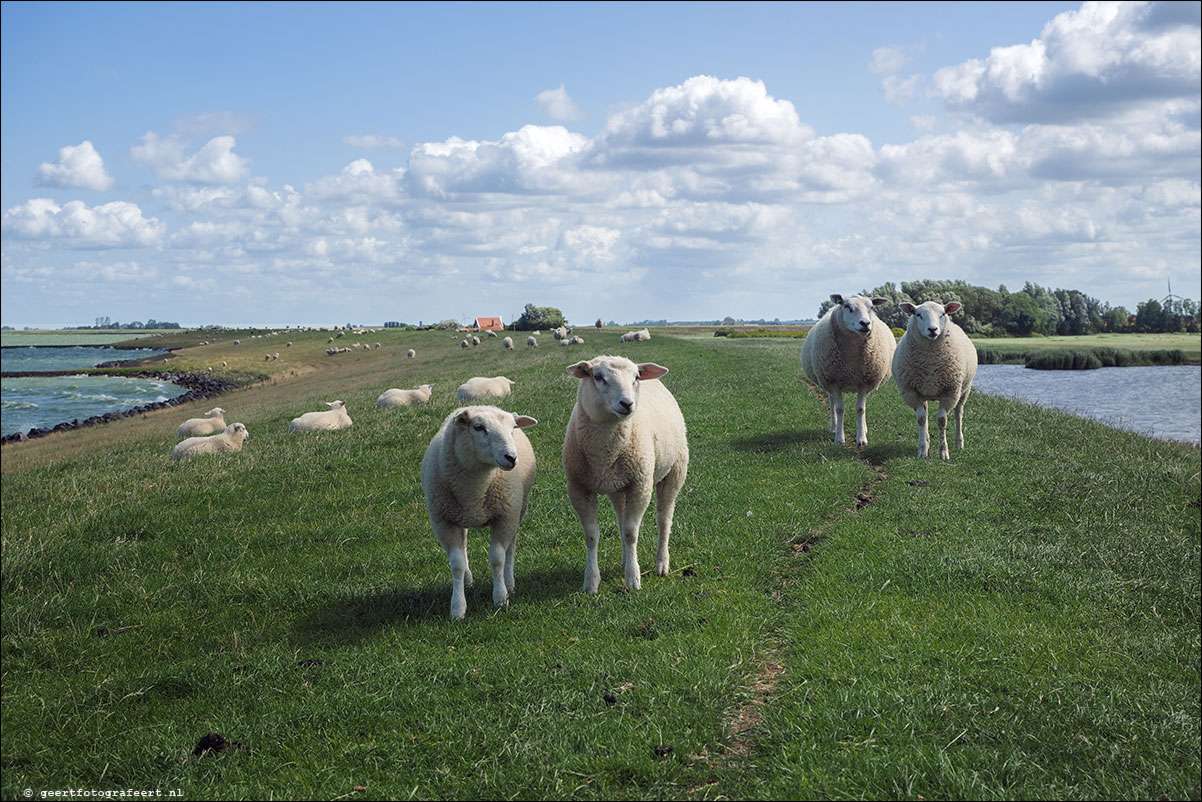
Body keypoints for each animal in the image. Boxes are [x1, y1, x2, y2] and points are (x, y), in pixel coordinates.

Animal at [420, 408, 538, 620]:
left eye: (513, 428)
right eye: (478, 427)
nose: (511, 457)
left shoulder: (505, 516)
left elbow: (498, 558)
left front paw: (501, 598)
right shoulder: (443, 521)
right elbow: (456, 563)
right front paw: (457, 608)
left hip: (518, 509)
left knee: (511, 547)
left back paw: (509, 582)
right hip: (459, 515)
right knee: (464, 543)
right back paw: (468, 580)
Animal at [560, 353, 687, 593]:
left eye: (636, 377)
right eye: (598, 377)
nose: (627, 403)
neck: (604, 454)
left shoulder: (640, 485)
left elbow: (631, 533)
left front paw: (633, 579)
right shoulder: (579, 488)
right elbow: (592, 536)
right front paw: (591, 582)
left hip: (675, 470)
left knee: (664, 520)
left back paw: (661, 563)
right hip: (617, 487)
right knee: (620, 518)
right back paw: (626, 560)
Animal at [802, 293, 899, 444]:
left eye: (871, 307)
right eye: (847, 306)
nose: (865, 323)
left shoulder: (864, 382)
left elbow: (861, 409)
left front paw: (861, 438)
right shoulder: (834, 382)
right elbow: (839, 409)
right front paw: (839, 438)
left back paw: (864, 428)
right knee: (832, 403)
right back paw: (834, 427)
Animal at [894, 300, 976, 461]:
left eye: (942, 314)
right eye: (918, 314)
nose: (933, 329)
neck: (930, 361)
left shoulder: (950, 392)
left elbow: (942, 420)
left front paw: (943, 452)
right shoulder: (910, 392)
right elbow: (921, 419)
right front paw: (922, 450)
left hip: (964, 390)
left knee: (959, 413)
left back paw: (959, 442)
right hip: (923, 392)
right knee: (925, 414)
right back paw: (926, 440)